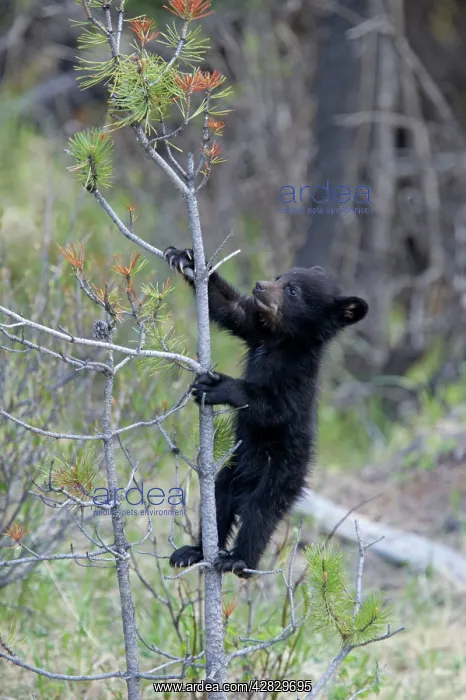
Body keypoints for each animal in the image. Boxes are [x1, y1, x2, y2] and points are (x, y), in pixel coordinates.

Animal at [164, 246, 368, 577]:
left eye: (293, 291)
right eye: (279, 276)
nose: (260, 285)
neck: (282, 341)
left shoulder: (297, 381)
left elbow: (272, 408)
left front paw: (220, 386)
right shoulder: (257, 331)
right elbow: (230, 308)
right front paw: (185, 258)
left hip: (282, 476)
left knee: (260, 515)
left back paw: (239, 560)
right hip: (231, 473)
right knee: (219, 501)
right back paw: (194, 551)